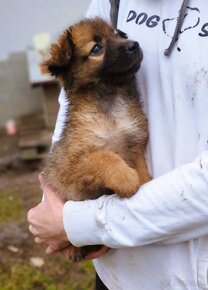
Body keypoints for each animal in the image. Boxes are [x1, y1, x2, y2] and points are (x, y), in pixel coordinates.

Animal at [42, 16, 150, 260]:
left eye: (119, 35)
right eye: (96, 49)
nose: (134, 45)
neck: (111, 102)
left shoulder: (136, 143)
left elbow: (142, 169)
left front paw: (145, 183)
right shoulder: (74, 163)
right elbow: (104, 157)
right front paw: (127, 180)